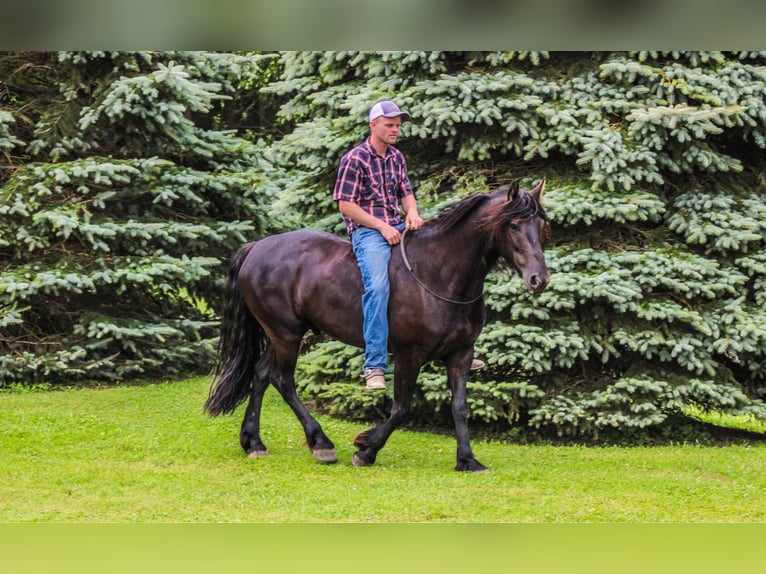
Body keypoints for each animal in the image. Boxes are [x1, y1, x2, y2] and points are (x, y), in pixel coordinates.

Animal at [206, 180, 552, 472]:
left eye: (541, 225)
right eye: (514, 225)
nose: (539, 279)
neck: (441, 273)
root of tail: (256, 247)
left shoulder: (461, 354)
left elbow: (459, 406)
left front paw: (467, 460)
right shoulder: (410, 355)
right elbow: (401, 408)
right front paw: (366, 448)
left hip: (280, 335)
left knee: (261, 374)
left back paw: (254, 442)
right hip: (286, 334)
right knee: (283, 380)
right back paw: (321, 444)